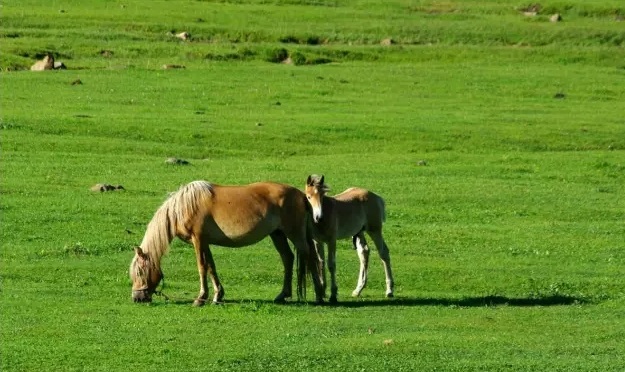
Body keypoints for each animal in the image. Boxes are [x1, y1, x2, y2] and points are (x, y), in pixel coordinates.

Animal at [127, 179, 322, 306]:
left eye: (140, 271)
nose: (137, 298)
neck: (184, 207)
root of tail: (302, 195)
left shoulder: (198, 240)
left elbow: (201, 267)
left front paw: (200, 298)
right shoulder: (205, 242)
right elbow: (211, 266)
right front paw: (217, 296)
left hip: (295, 234)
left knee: (310, 257)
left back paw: (320, 296)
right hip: (277, 234)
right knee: (287, 258)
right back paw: (282, 295)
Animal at [304, 174, 394, 302]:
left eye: (322, 196)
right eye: (309, 197)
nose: (318, 217)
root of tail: (376, 197)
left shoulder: (331, 241)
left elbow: (331, 264)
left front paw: (333, 294)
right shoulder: (317, 241)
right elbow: (321, 263)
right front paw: (322, 291)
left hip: (374, 230)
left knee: (383, 253)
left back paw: (389, 290)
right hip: (359, 232)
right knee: (364, 252)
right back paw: (358, 290)